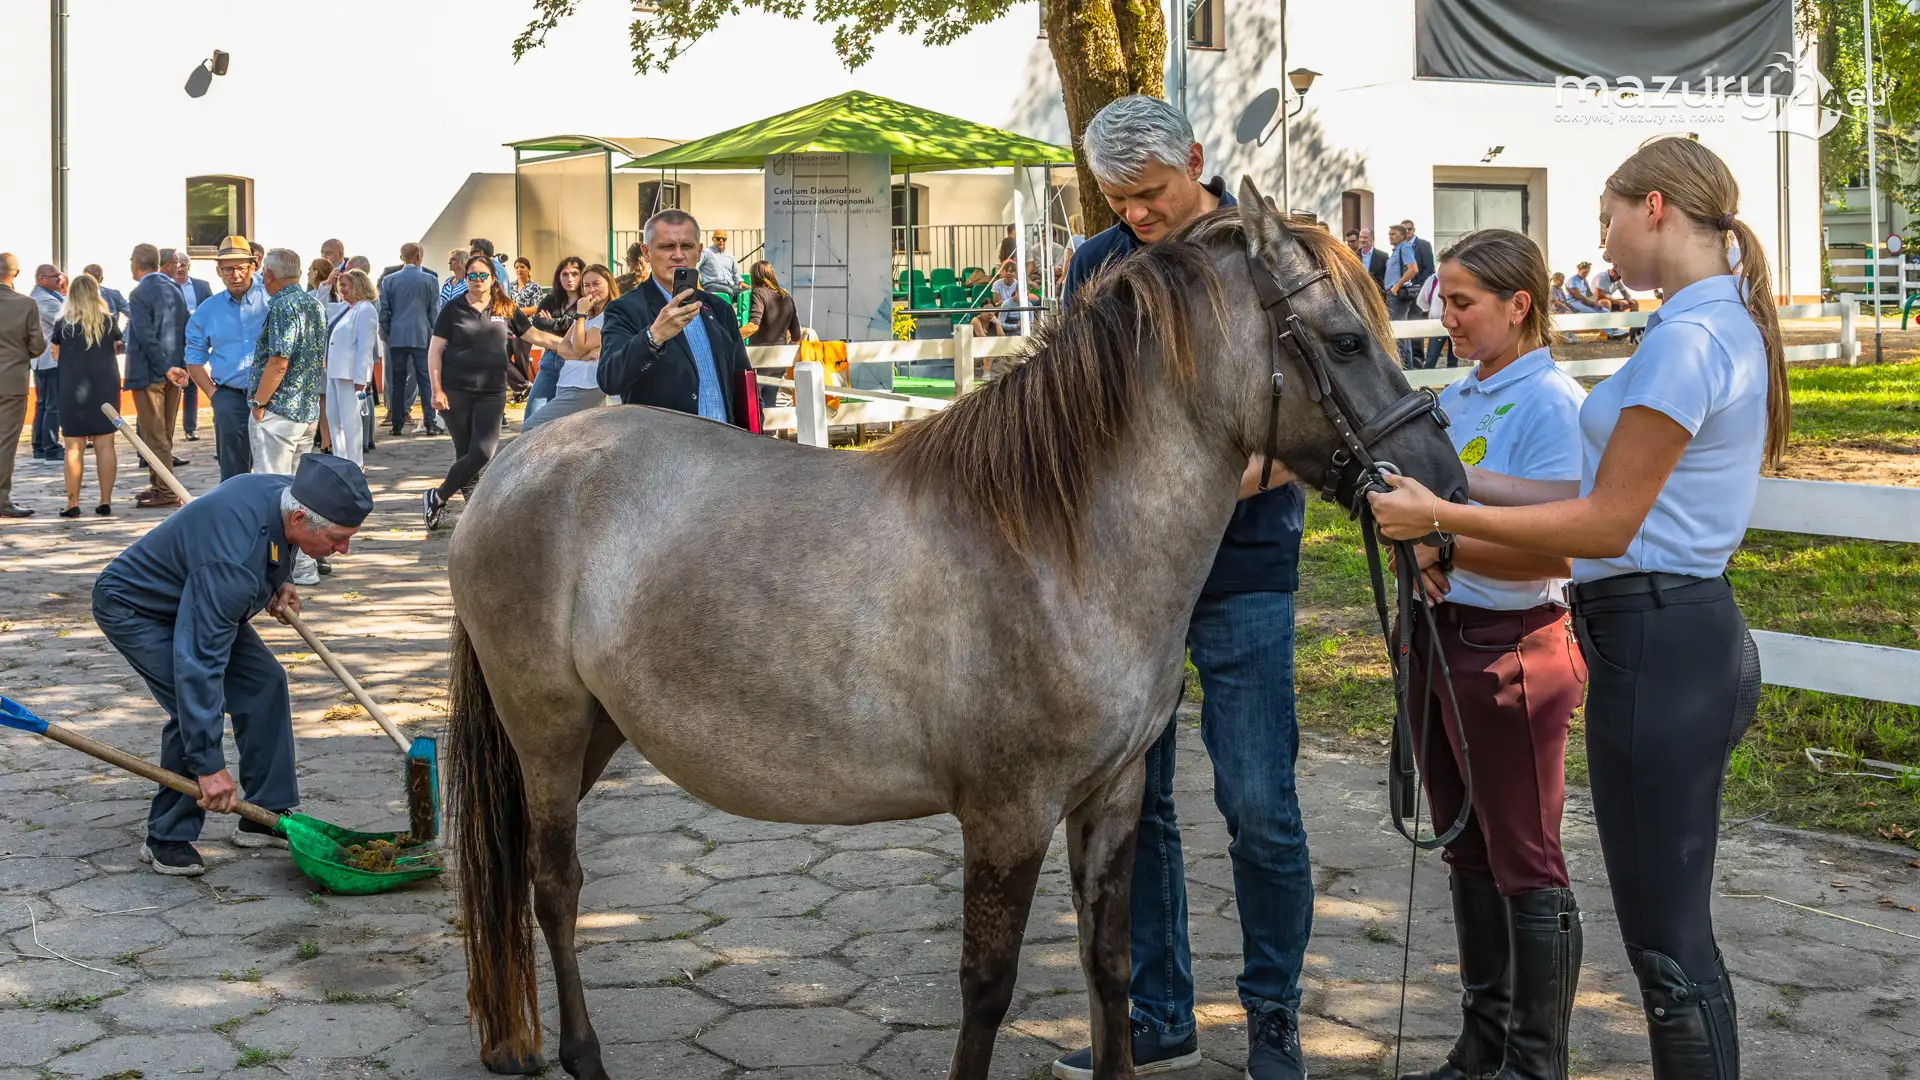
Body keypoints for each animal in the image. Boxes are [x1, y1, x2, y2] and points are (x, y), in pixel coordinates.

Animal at [444, 178, 1469, 1080]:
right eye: (1344, 340)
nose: (1444, 489)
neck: (1057, 546)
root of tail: (517, 465)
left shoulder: (1113, 798)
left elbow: (1107, 965)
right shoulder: (1007, 815)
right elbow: (987, 984)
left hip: (593, 731)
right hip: (546, 729)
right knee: (553, 887)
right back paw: (578, 1055)